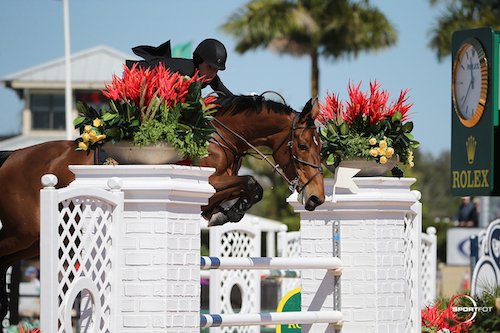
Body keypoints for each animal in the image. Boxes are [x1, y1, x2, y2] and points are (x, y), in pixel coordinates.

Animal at [0, 94, 324, 322]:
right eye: (303, 146)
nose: (316, 199)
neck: (224, 138)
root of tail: (12, 156)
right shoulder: (206, 184)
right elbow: (250, 182)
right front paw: (229, 209)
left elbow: (249, 187)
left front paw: (230, 210)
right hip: (24, 233)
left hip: (38, 240)